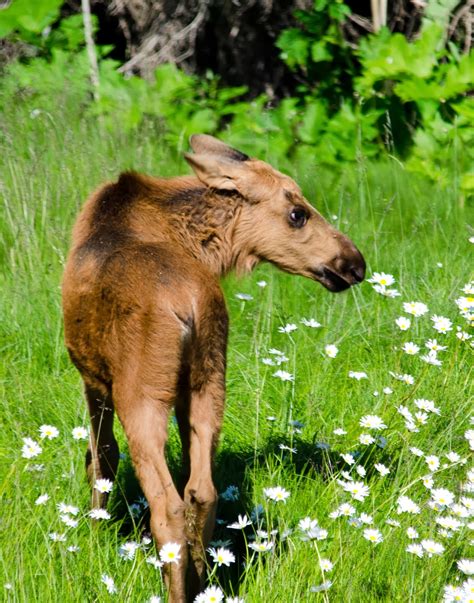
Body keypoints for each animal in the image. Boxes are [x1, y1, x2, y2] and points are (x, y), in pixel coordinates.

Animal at [62, 134, 366, 600]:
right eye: (297, 213)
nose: (354, 262)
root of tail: (188, 303)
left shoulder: (92, 379)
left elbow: (101, 458)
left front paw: (94, 531)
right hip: (210, 380)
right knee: (202, 491)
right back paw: (204, 579)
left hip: (142, 393)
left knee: (167, 503)